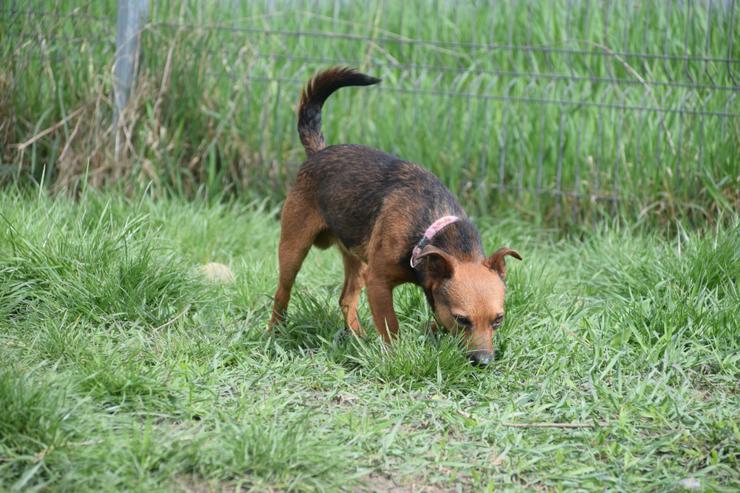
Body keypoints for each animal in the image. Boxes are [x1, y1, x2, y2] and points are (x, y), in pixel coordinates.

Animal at [270, 66, 520, 366]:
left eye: (498, 320)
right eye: (462, 319)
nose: (483, 361)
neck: (429, 230)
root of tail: (318, 152)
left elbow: (434, 319)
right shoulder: (378, 283)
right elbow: (391, 326)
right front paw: (395, 356)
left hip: (356, 258)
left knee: (346, 299)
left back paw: (358, 338)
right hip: (294, 248)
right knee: (282, 293)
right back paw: (274, 332)